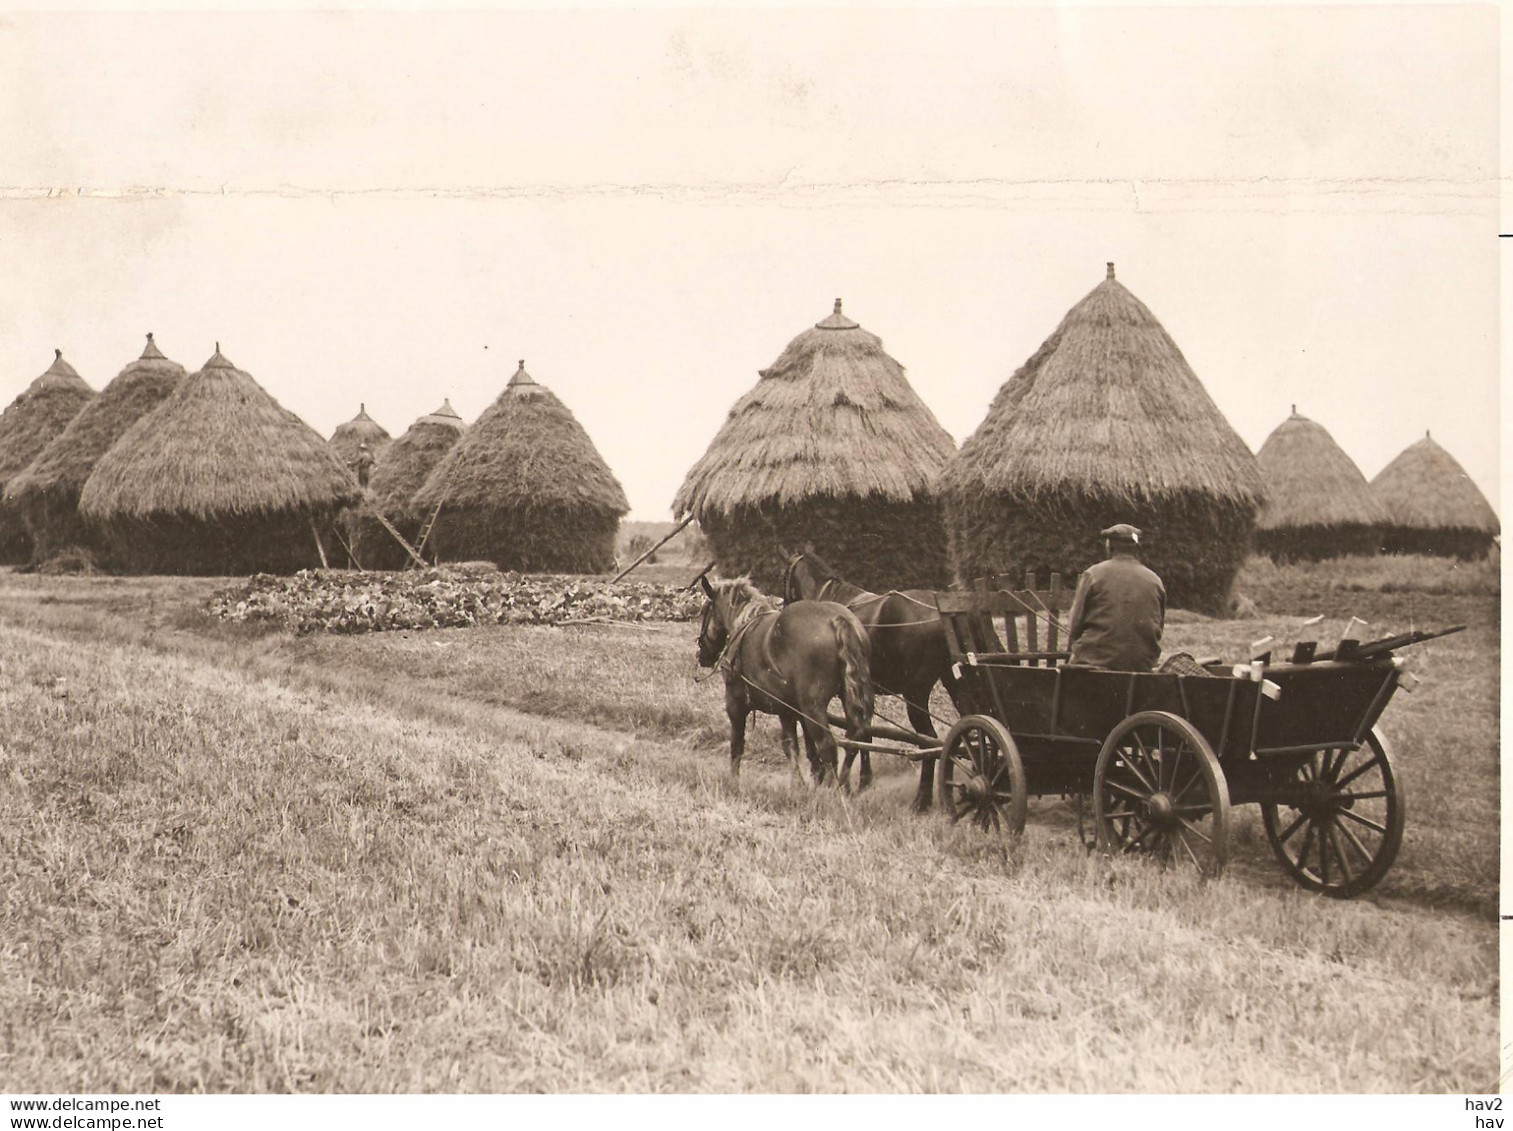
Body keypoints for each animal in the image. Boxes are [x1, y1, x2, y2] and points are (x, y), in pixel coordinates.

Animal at [695, 574, 877, 786]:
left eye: (705, 610)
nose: (702, 655)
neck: (744, 624)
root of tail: (838, 620)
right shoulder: (788, 709)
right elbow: (796, 746)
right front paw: (806, 781)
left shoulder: (735, 702)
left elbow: (737, 744)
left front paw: (733, 781)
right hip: (846, 698)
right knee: (856, 738)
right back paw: (846, 784)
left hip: (813, 707)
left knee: (828, 746)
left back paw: (832, 789)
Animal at [786, 550, 950, 810]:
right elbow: (865, 733)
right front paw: (864, 781)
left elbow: (854, 734)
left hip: (915, 694)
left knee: (929, 741)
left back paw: (921, 800)